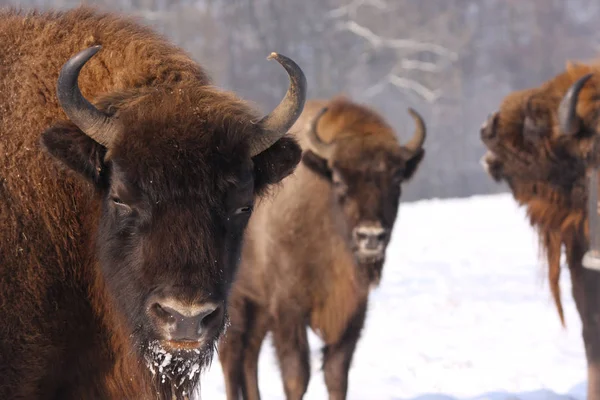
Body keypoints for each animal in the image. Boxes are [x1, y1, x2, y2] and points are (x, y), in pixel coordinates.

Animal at [218, 97, 424, 400]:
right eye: (338, 179)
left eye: (397, 179)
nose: (371, 236)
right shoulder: (288, 308)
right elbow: (296, 375)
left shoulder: (352, 311)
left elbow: (337, 374)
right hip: (238, 302)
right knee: (232, 357)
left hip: (259, 307)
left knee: (249, 357)